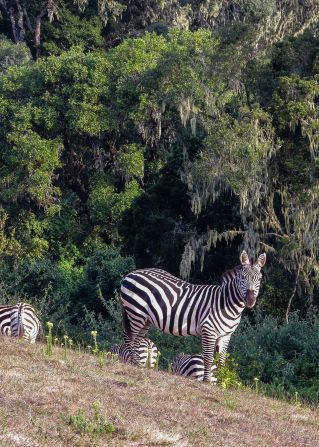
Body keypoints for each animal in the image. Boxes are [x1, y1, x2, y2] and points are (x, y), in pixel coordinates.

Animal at [121, 250, 266, 384]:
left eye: (259, 279)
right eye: (243, 278)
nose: (250, 300)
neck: (226, 303)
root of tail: (130, 274)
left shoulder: (225, 335)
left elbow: (221, 360)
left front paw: (220, 382)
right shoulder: (209, 330)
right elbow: (208, 358)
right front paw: (207, 381)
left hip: (145, 318)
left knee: (138, 338)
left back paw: (138, 364)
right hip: (135, 312)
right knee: (130, 336)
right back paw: (133, 362)